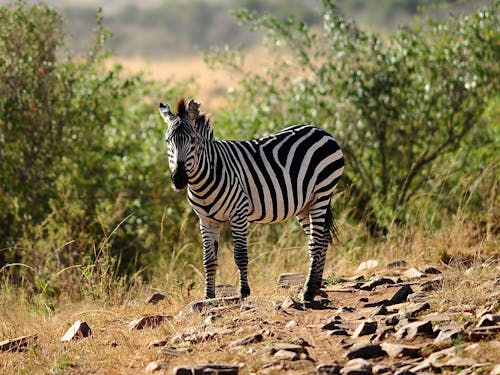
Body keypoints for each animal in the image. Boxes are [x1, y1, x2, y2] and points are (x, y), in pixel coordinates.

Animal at [160, 97, 344, 302]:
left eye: (192, 140)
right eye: (168, 141)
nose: (179, 179)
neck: (204, 179)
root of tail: (320, 130)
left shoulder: (238, 213)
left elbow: (240, 255)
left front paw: (244, 292)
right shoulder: (206, 220)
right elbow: (208, 260)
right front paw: (208, 297)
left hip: (322, 192)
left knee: (317, 241)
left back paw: (309, 290)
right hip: (306, 204)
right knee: (322, 238)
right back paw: (316, 285)